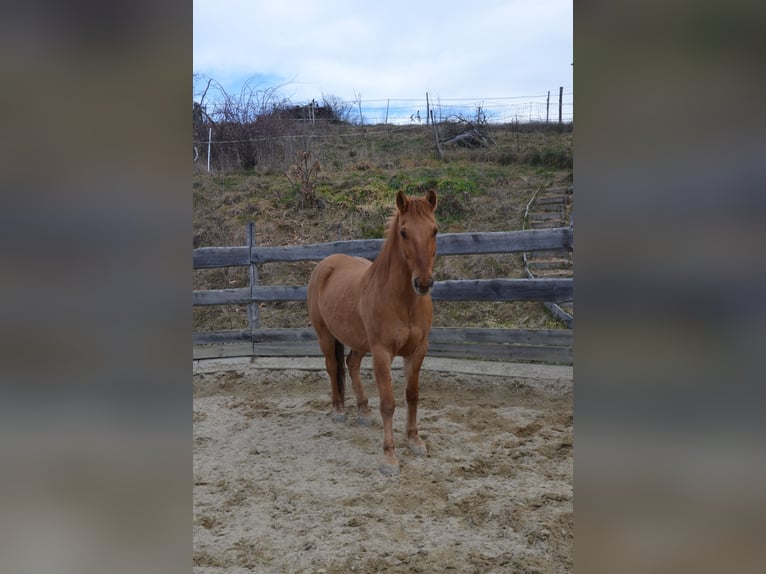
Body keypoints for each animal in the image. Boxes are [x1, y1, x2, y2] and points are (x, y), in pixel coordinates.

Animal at [307, 189, 439, 476]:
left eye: (435, 230)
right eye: (403, 232)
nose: (423, 283)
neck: (402, 300)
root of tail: (326, 264)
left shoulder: (417, 351)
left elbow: (412, 396)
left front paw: (415, 441)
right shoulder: (382, 353)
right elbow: (388, 404)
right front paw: (389, 458)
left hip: (358, 341)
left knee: (351, 363)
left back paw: (364, 412)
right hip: (325, 336)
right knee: (333, 366)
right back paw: (339, 411)